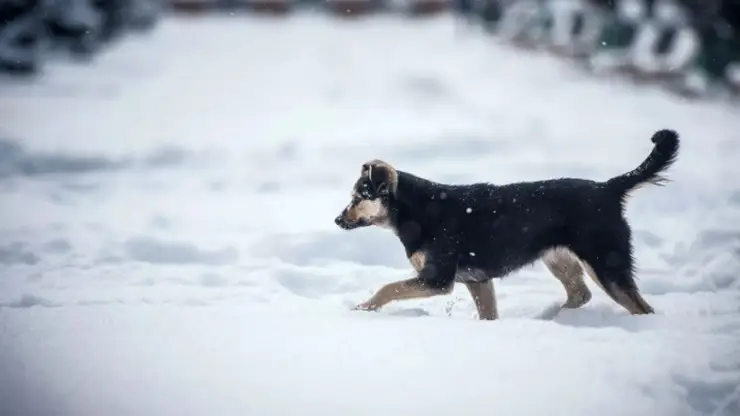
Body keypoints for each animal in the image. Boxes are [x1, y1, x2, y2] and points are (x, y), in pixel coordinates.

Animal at [336, 128, 684, 320]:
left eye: (357, 197)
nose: (337, 220)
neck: (415, 210)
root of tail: (608, 188)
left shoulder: (438, 279)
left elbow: (387, 288)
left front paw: (361, 310)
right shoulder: (477, 280)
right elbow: (488, 315)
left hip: (606, 263)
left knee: (640, 307)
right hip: (558, 257)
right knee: (580, 293)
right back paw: (553, 317)